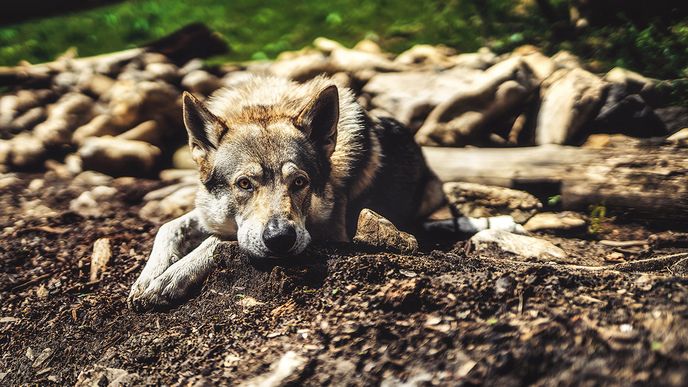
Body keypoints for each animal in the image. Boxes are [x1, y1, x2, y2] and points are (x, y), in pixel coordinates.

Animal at [128, 76, 446, 312]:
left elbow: (218, 241)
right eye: (244, 184)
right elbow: (170, 227)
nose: (280, 239)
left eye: (299, 182)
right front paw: (149, 276)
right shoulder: (208, 211)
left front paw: (170, 278)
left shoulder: (332, 235)